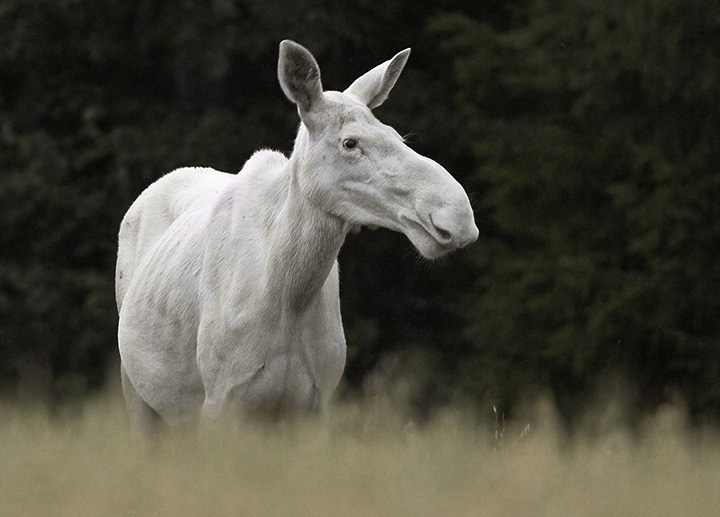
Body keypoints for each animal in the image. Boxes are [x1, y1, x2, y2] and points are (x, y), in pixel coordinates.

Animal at [115, 40, 478, 438]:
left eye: (398, 136)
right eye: (349, 143)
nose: (458, 216)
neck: (288, 296)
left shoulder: (313, 405)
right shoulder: (221, 401)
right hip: (137, 392)